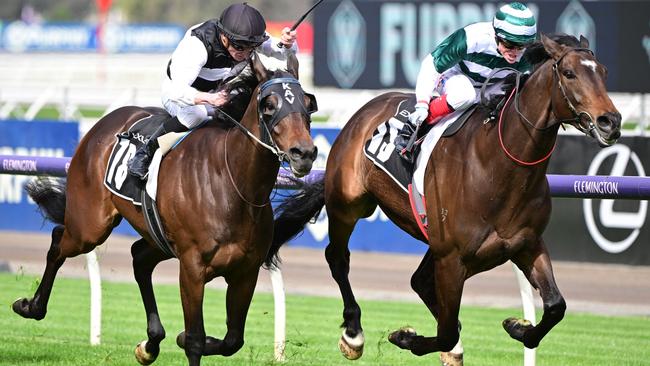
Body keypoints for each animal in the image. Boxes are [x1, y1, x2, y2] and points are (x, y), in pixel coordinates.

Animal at [13, 52, 318, 366]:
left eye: (308, 104)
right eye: (269, 105)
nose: (304, 153)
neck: (235, 187)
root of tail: (102, 124)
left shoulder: (245, 272)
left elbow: (233, 340)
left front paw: (178, 338)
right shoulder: (193, 268)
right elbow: (195, 339)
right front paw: (187, 338)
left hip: (159, 238)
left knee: (138, 258)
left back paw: (150, 343)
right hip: (90, 227)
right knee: (59, 240)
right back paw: (31, 306)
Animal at [268, 33, 616, 364]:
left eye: (603, 72)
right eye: (569, 73)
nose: (610, 121)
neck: (498, 168)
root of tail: (363, 112)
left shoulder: (524, 244)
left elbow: (556, 305)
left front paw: (518, 327)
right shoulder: (452, 257)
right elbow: (446, 332)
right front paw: (405, 337)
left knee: (420, 281)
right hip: (348, 205)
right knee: (338, 258)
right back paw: (353, 334)